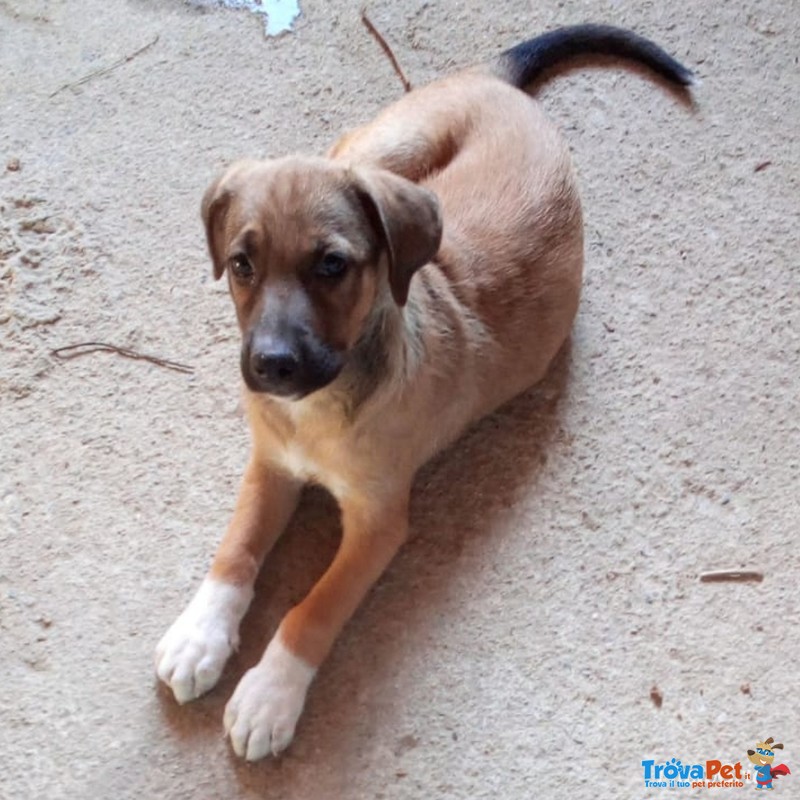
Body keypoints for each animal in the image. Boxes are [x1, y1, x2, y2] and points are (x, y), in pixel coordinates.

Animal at [156, 25, 692, 760]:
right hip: (382, 147)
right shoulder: (270, 465)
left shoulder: (378, 522)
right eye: (242, 265)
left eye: (333, 266)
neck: (319, 411)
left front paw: (271, 692)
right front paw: (200, 635)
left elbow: (314, 607)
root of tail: (492, 80)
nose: (271, 366)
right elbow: (236, 548)